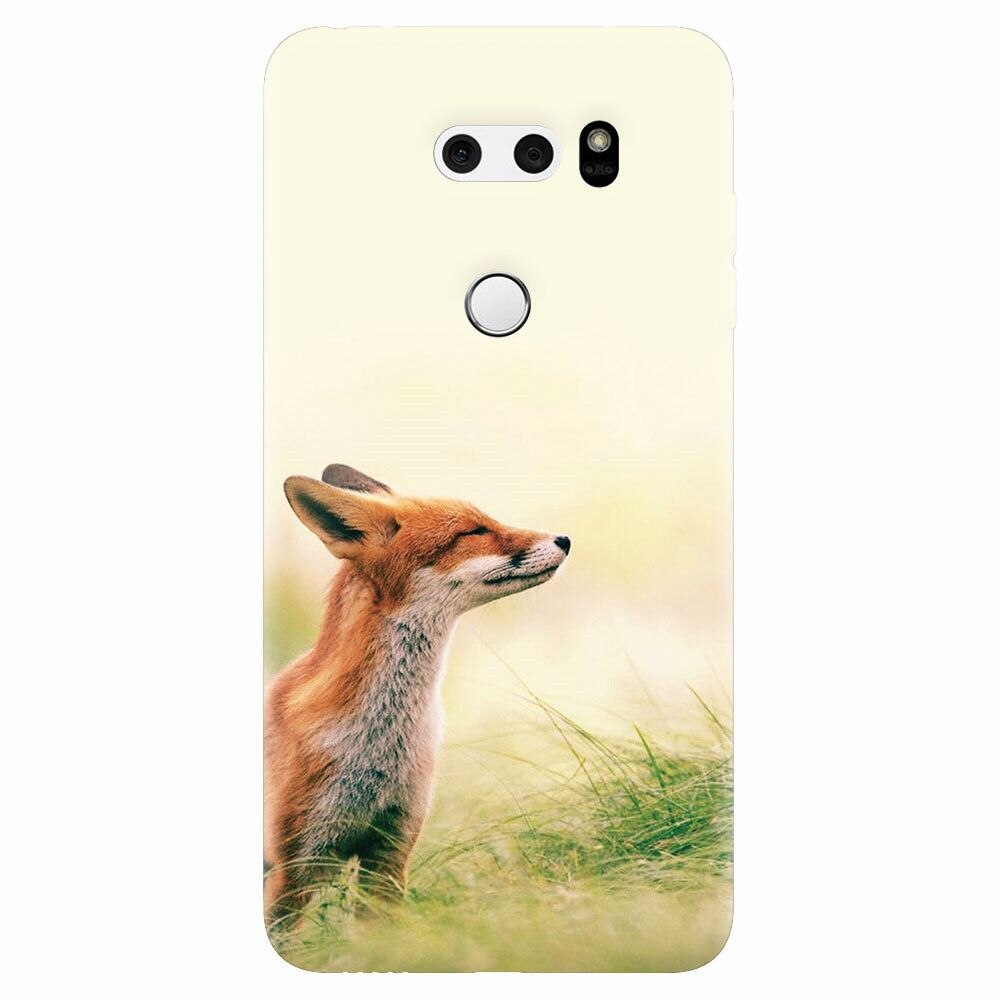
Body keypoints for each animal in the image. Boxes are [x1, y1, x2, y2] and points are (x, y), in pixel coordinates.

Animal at [264, 463, 570, 926]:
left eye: (487, 520)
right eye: (473, 531)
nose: (565, 540)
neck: (379, 746)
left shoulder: (390, 851)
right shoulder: (294, 868)